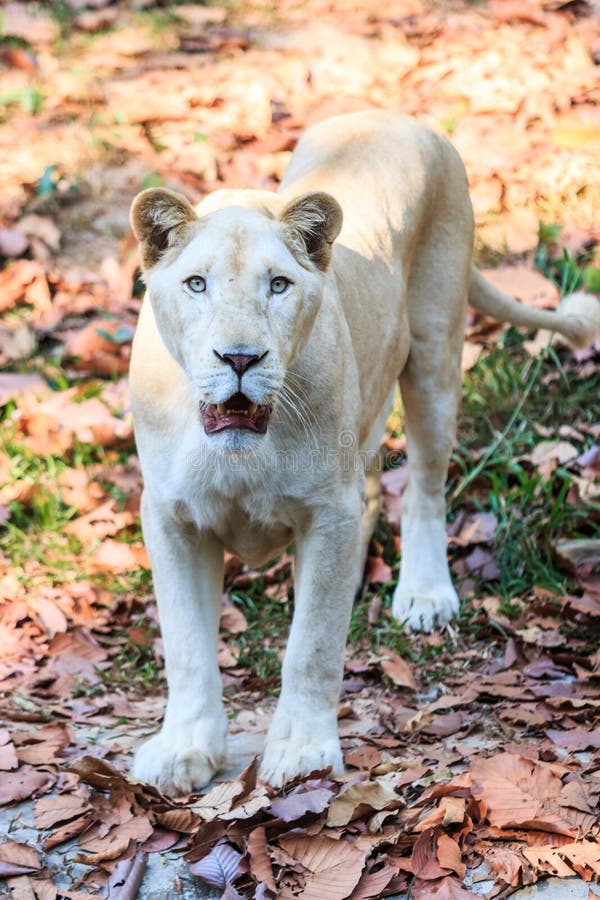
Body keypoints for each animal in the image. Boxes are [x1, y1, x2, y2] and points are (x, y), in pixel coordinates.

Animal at [128, 110, 599, 796]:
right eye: (197, 284)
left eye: (278, 285)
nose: (240, 358)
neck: (242, 452)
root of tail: (398, 118)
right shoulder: (171, 515)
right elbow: (188, 645)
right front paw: (184, 751)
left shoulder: (327, 510)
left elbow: (312, 644)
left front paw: (302, 752)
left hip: (434, 354)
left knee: (426, 486)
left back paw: (425, 594)